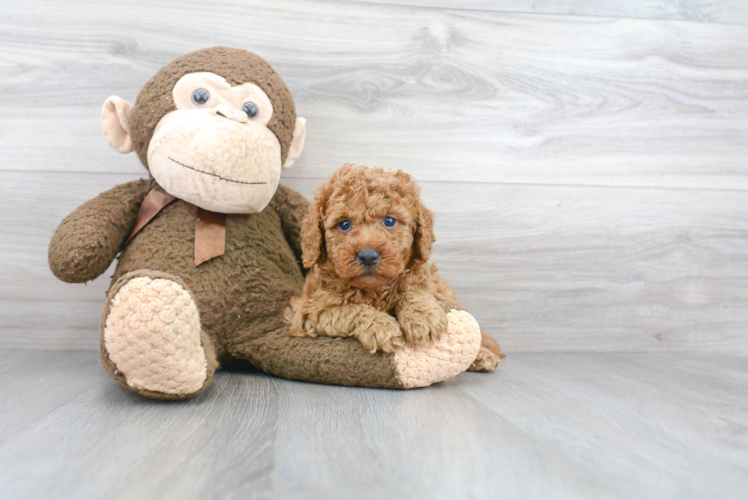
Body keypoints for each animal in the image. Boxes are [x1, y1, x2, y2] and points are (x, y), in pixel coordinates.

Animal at [284, 164, 502, 372]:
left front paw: (422, 318)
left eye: (389, 221)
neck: (375, 290)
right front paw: (381, 328)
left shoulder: (423, 280)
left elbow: (413, 290)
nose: (368, 256)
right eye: (344, 224)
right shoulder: (309, 311)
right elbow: (350, 309)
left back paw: (483, 355)